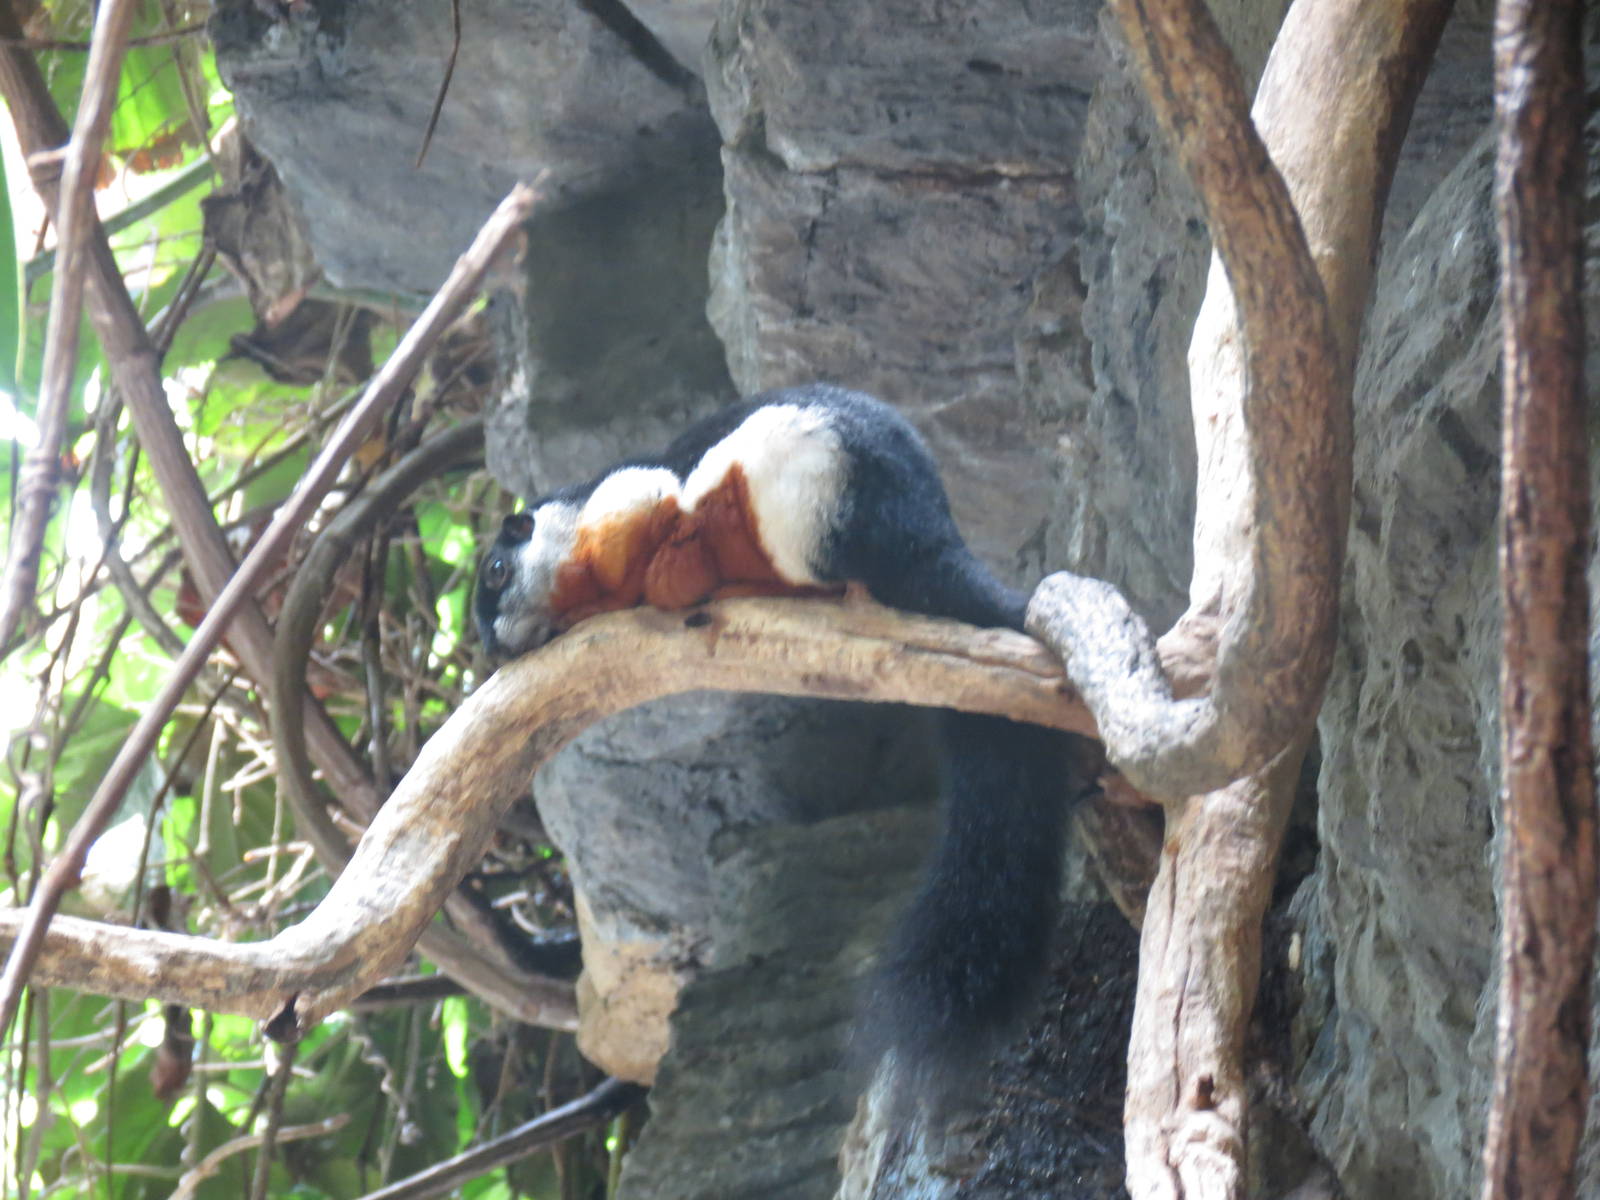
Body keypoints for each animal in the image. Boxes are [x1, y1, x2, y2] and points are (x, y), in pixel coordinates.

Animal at [475, 383, 1101, 1099]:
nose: (490, 645)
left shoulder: (622, 500)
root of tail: (928, 538)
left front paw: (615, 590)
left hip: (796, 493)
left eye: (495, 570)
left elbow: (639, 516)